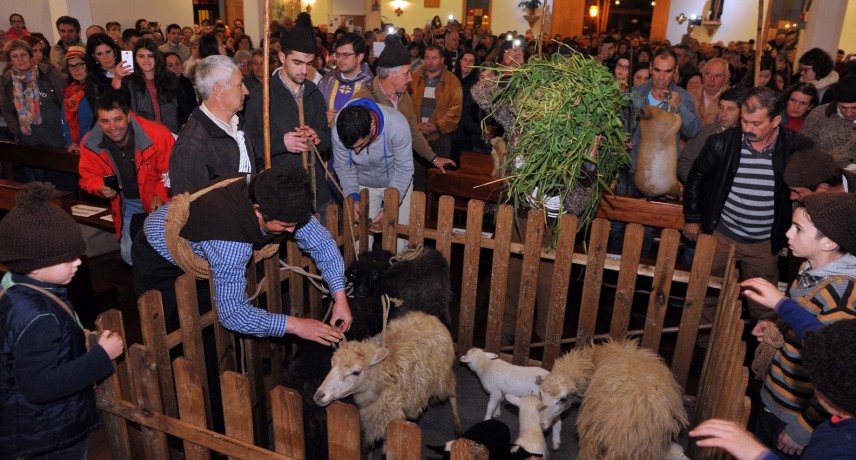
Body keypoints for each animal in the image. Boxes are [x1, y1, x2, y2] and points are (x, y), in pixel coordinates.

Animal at [314, 310, 462, 450]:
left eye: (356, 372)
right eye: (332, 364)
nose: (319, 396)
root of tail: (430, 317)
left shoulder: (389, 420)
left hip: (443, 377)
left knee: (452, 394)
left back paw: (457, 425)